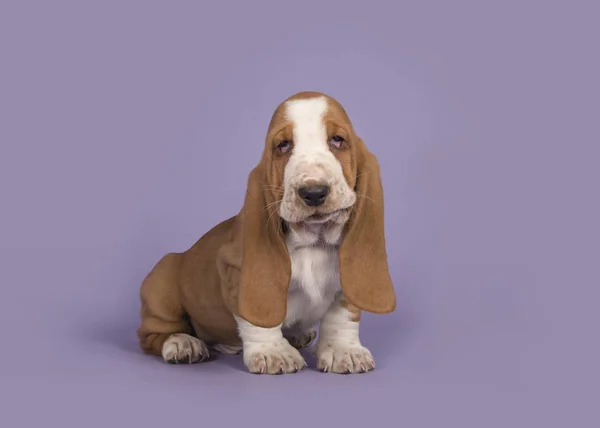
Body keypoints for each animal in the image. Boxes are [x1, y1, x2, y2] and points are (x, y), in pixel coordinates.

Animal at [138, 91, 396, 374]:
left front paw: (343, 350)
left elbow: (342, 313)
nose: (313, 193)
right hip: (162, 280)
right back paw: (182, 343)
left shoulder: (346, 285)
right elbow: (260, 319)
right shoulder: (235, 273)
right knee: (151, 334)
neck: (314, 242)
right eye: (283, 145)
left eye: (338, 140)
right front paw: (274, 352)